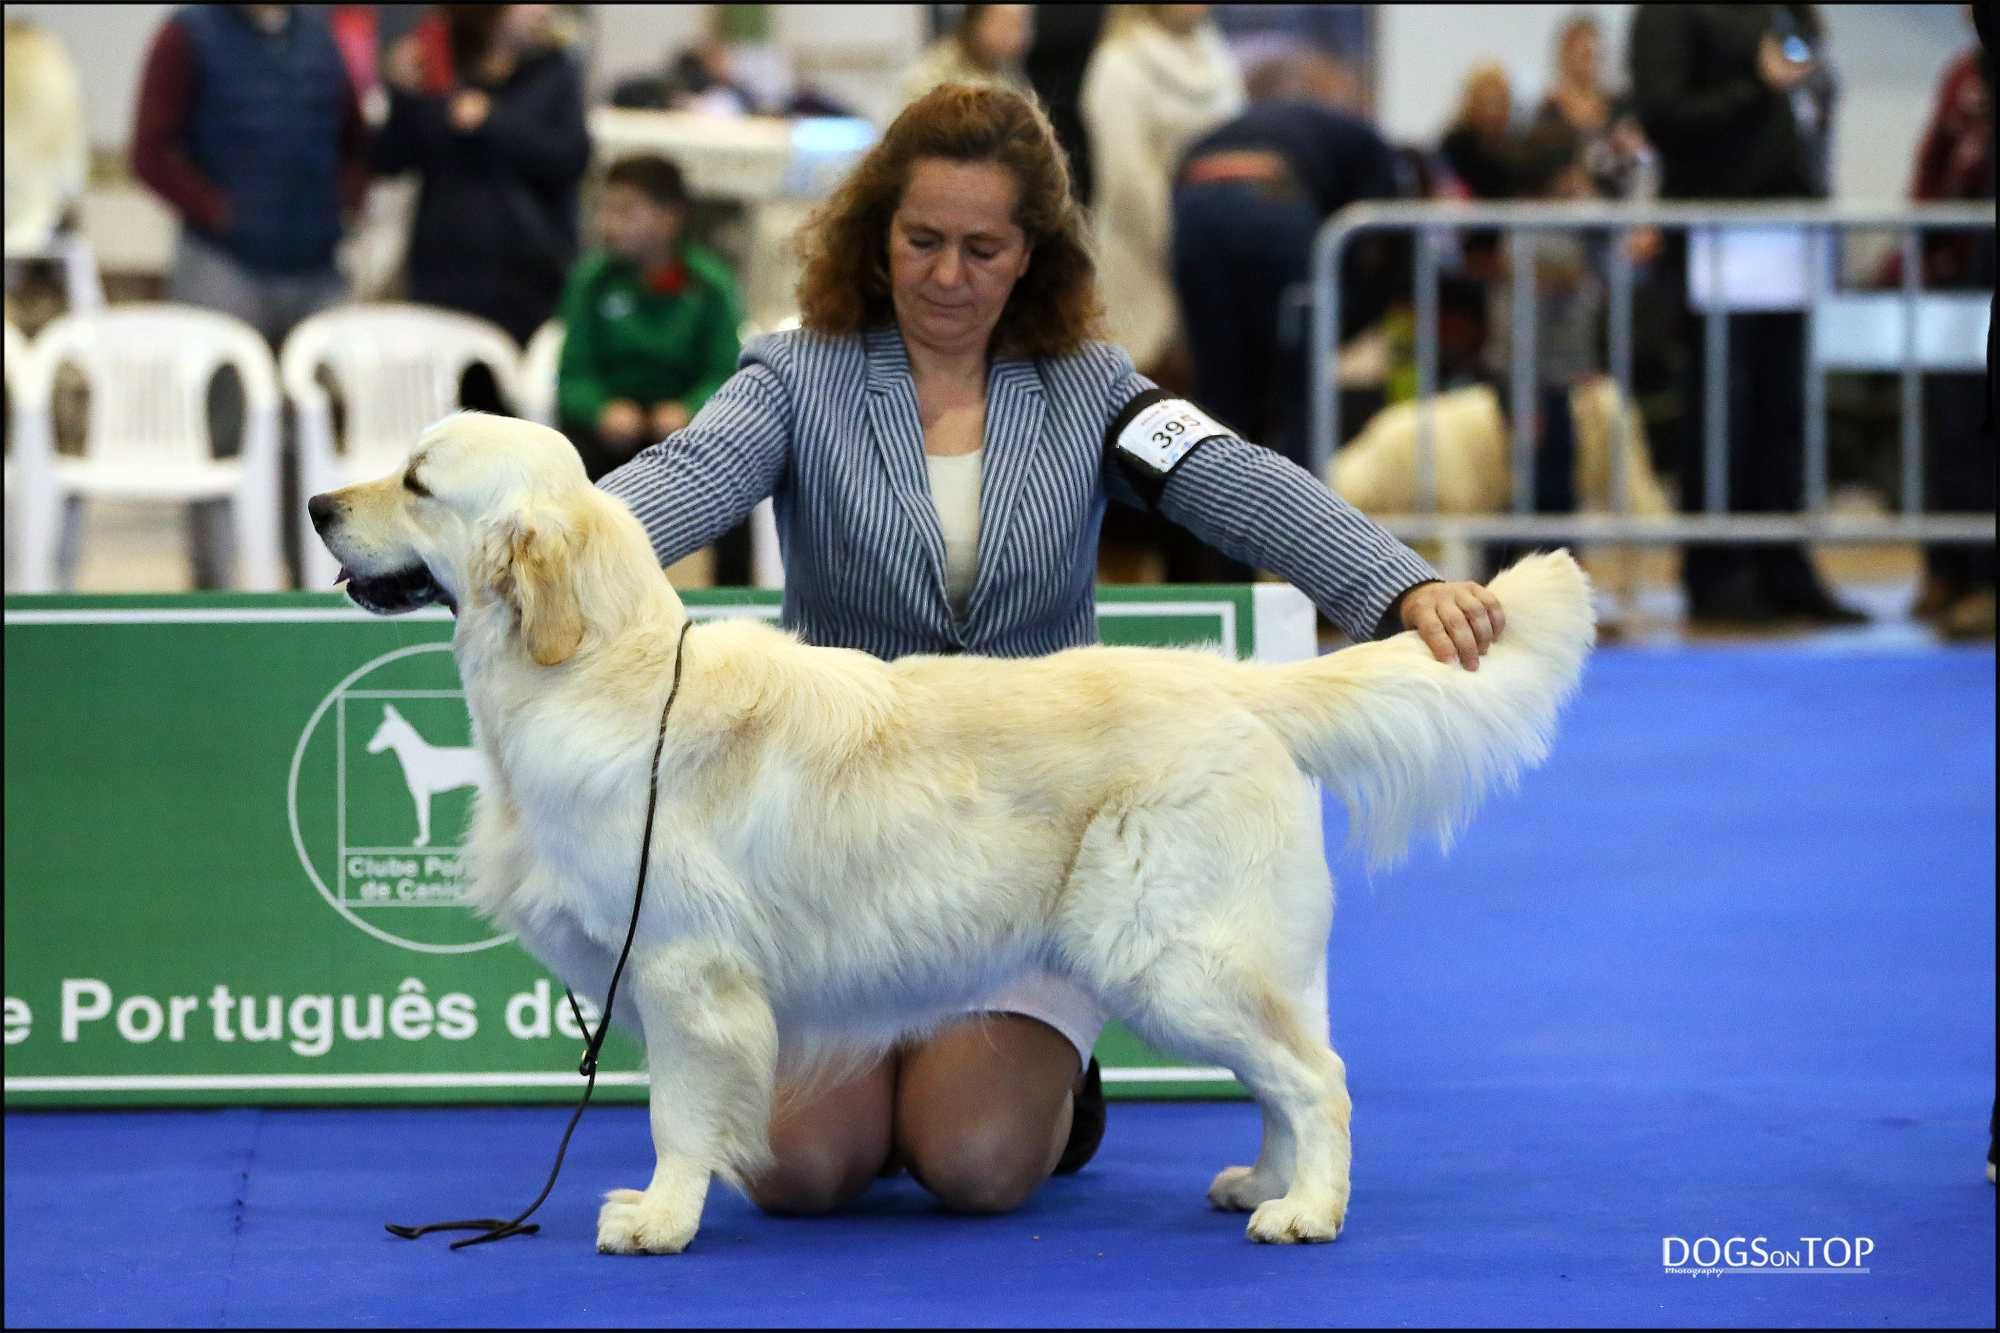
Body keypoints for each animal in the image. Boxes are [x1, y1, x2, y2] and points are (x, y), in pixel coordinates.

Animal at [304, 418, 1600, 1256]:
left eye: (416, 481)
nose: (316, 506)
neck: (593, 671)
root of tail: (1241, 687)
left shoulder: (684, 969)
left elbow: (676, 1110)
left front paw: (660, 1219)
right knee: (1285, 1072)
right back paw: (1261, 1182)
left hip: (1168, 952)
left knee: (1315, 1077)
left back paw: (1306, 1211)